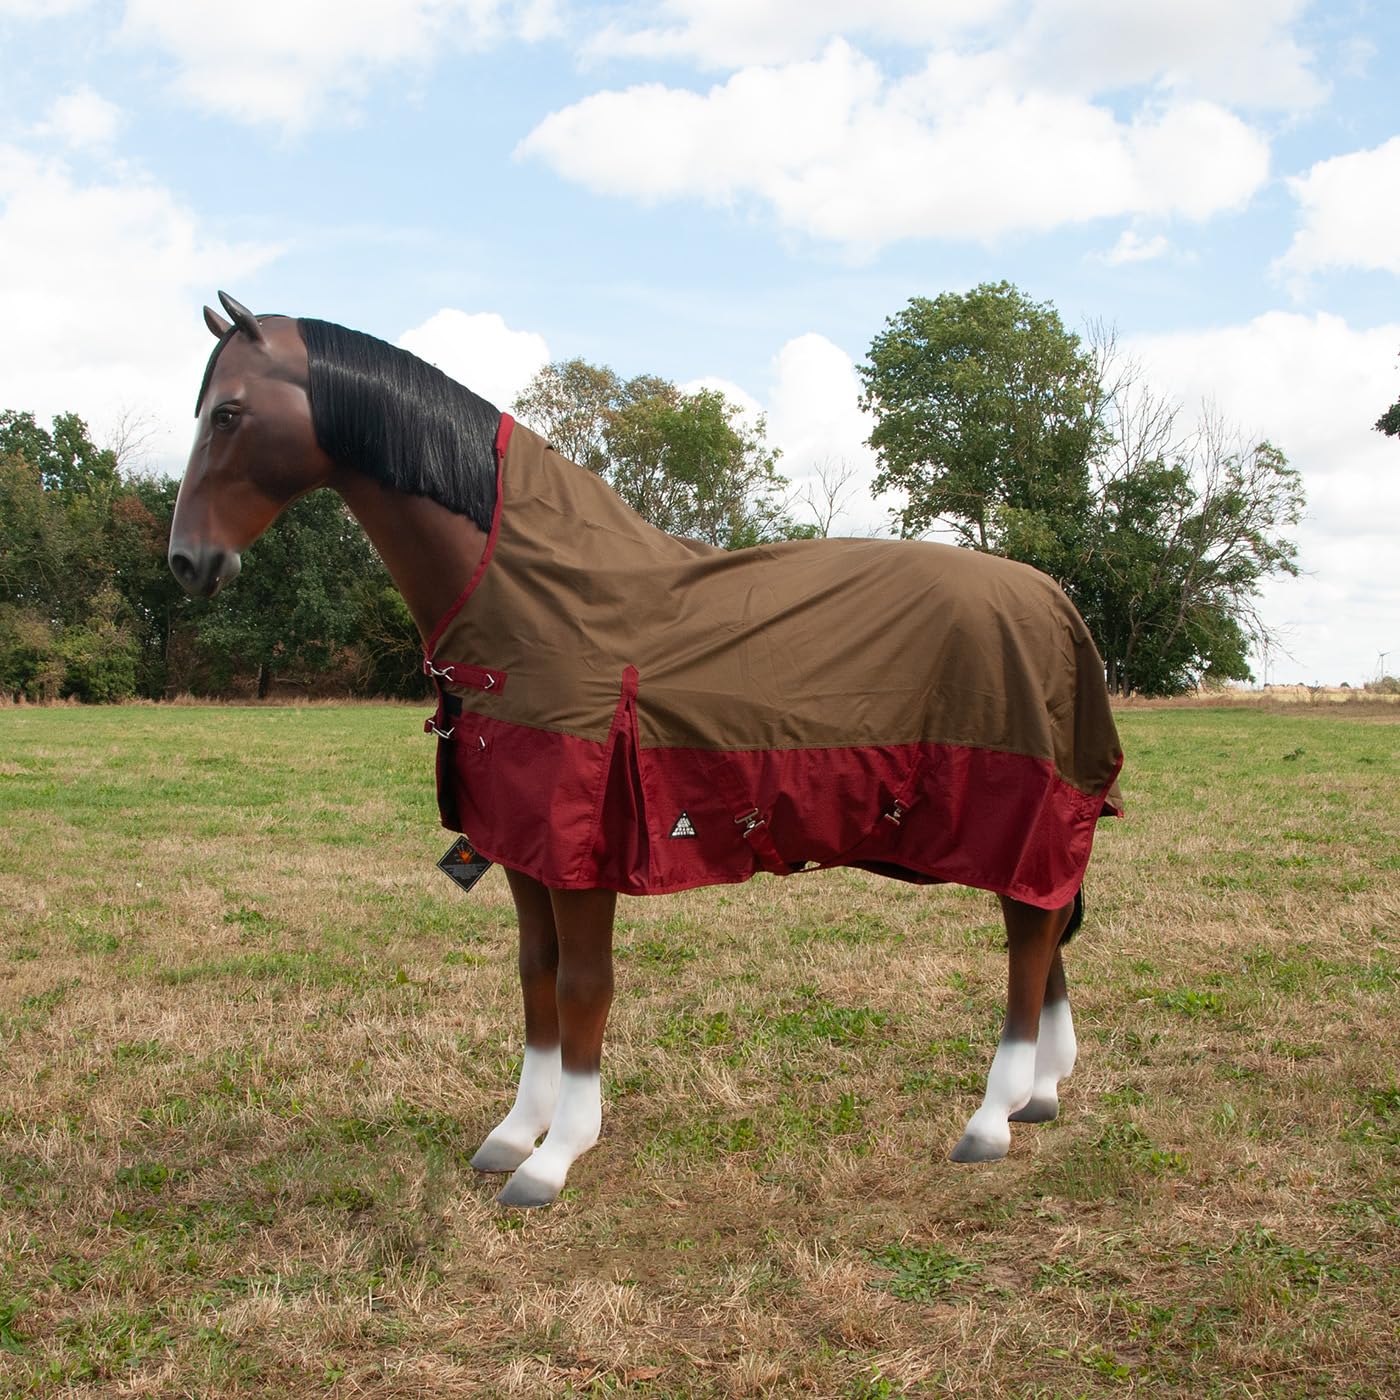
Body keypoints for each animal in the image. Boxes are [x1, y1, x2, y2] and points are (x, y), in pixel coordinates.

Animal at [169, 292, 1123, 1208]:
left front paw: (556, 1157)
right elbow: (536, 977)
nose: (187, 564)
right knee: (1045, 932)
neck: (529, 597)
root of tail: (1057, 602)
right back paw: (1040, 1094)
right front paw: (515, 1133)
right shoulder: (523, 846)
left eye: (229, 413)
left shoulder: (582, 852)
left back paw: (992, 1117)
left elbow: (583, 988)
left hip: (1021, 818)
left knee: (1028, 944)